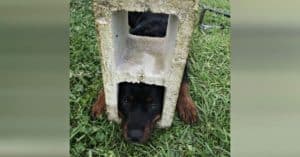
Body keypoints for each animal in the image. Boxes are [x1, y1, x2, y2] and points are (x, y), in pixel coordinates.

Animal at [91, 11, 199, 144]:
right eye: (126, 101)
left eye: (153, 105)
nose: (135, 136)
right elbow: (106, 85)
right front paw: (100, 103)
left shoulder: (181, 65)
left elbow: (183, 85)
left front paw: (188, 106)